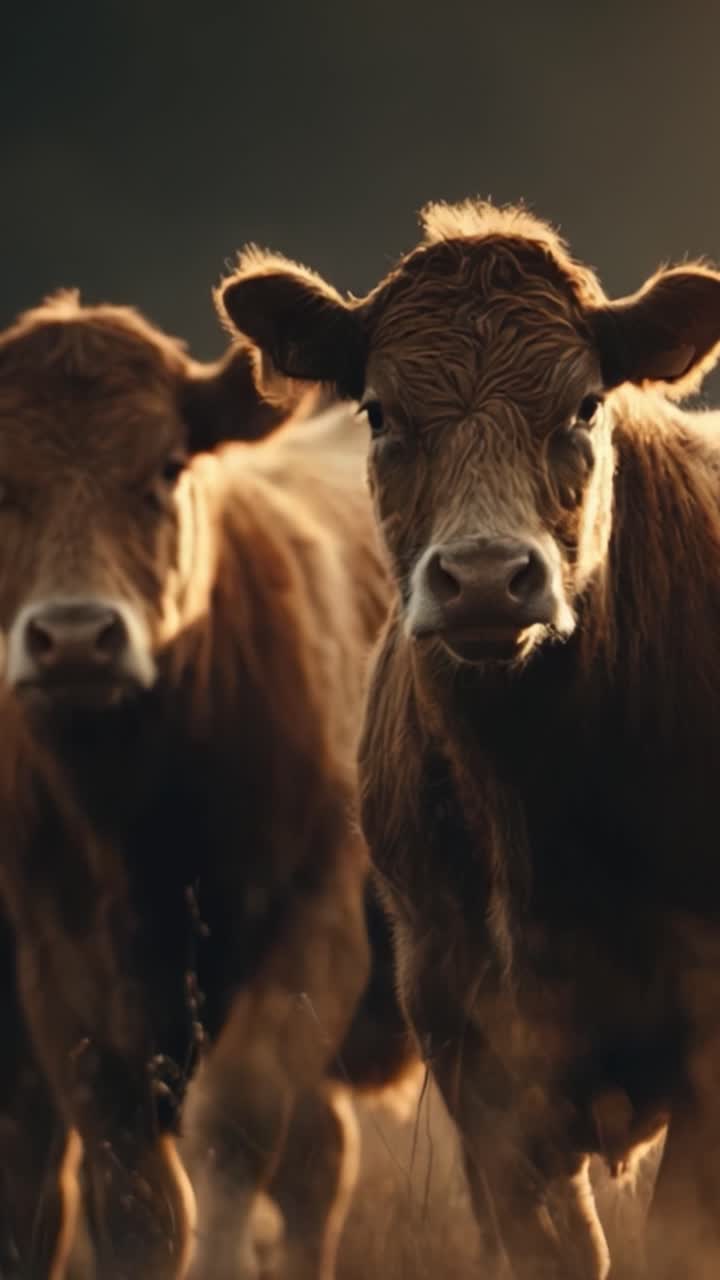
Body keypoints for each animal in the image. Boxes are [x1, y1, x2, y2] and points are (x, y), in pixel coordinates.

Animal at [0, 290, 410, 1280]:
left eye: (166, 466)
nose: (75, 639)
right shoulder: (60, 974)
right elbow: (132, 1190)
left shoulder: (314, 927)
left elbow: (235, 1126)